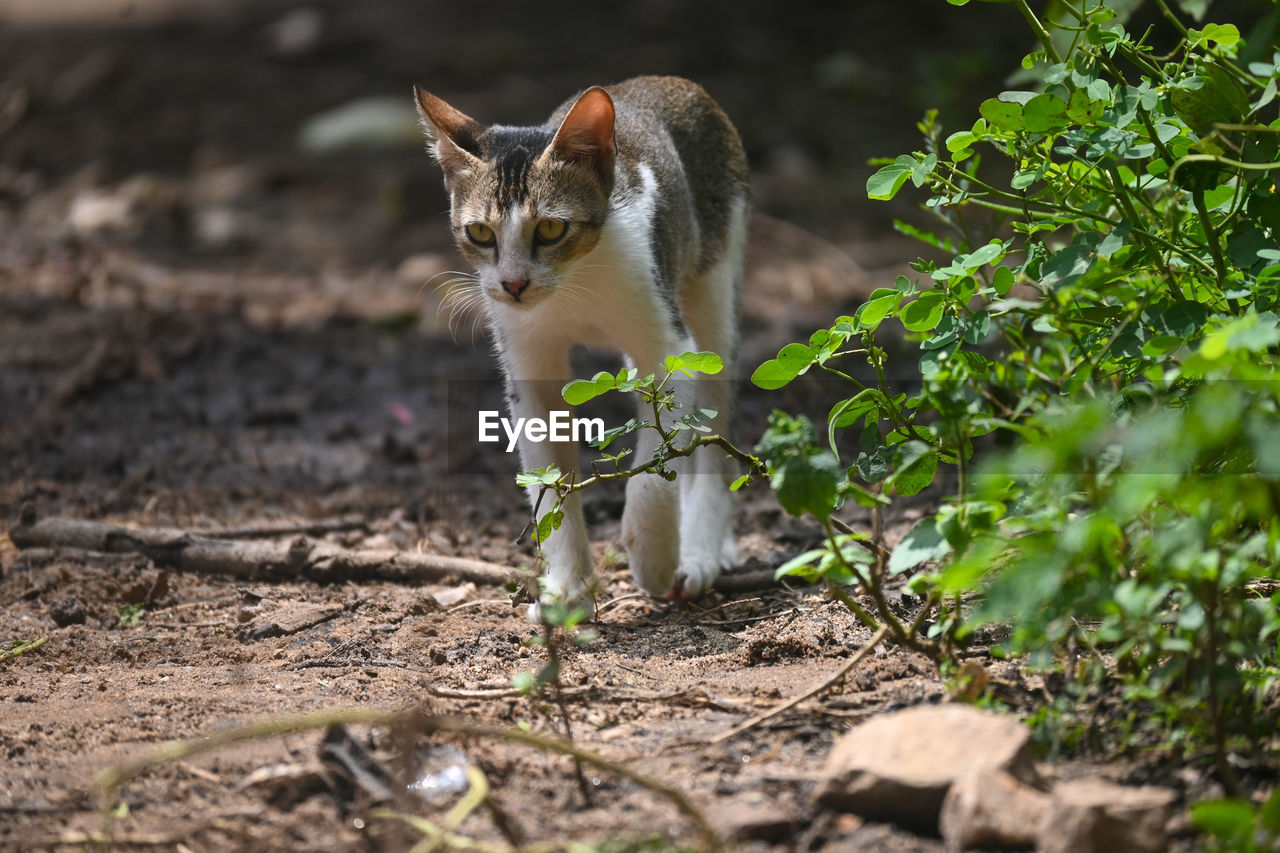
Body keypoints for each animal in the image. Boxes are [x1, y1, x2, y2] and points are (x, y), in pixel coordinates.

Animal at [414, 76, 747, 614]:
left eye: (551, 228)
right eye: (480, 233)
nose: (513, 284)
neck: (574, 283)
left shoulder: (670, 344)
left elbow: (656, 468)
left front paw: (653, 558)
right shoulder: (527, 366)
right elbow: (550, 480)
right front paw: (568, 587)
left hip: (715, 275)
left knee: (716, 421)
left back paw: (700, 553)